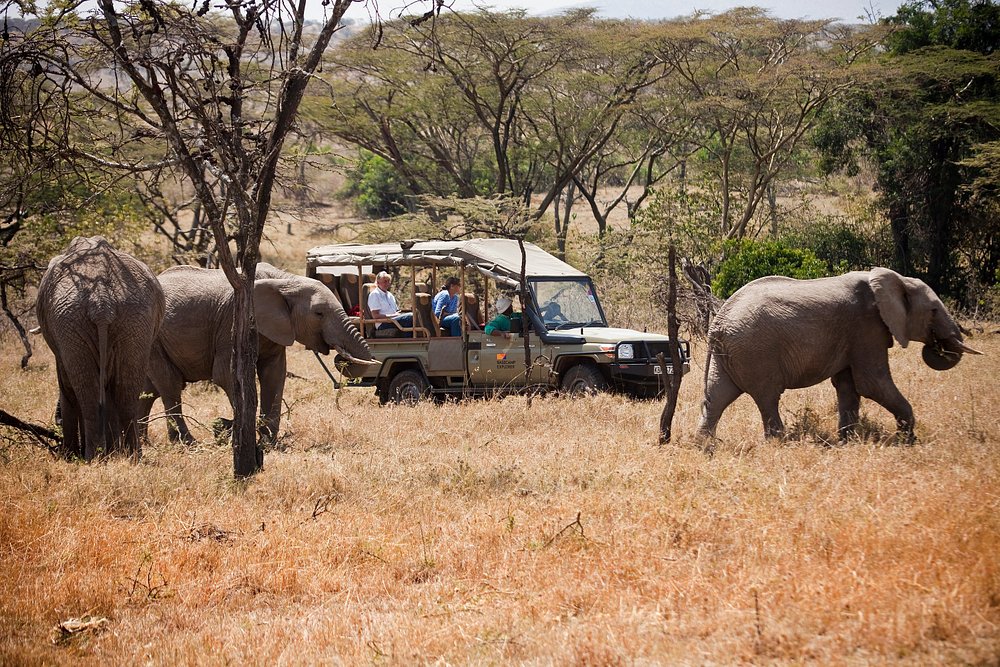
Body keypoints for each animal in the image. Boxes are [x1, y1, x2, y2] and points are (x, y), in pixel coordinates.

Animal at [36, 236, 165, 460]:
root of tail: (102, 301)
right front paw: (114, 452)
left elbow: (67, 386)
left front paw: (69, 456)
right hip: (135, 319)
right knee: (126, 390)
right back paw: (133, 457)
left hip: (69, 320)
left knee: (86, 392)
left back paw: (91, 458)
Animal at [139, 262, 373, 444]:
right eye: (319, 313)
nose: (340, 358)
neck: (286, 281)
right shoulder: (232, 323)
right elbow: (226, 374)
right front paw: (237, 432)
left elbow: (275, 373)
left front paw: (268, 441)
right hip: (154, 338)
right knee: (169, 384)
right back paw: (187, 443)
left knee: (148, 390)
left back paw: (143, 443)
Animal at [696, 268, 982, 445]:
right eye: (933, 310)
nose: (938, 346)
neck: (895, 279)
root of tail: (718, 322)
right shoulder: (866, 327)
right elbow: (872, 383)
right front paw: (909, 442)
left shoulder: (853, 335)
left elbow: (848, 386)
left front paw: (846, 442)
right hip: (756, 351)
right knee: (767, 397)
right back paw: (779, 443)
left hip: (730, 353)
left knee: (717, 396)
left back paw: (704, 447)